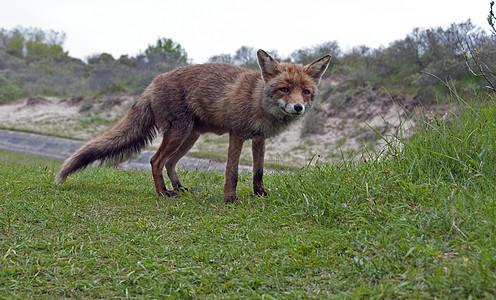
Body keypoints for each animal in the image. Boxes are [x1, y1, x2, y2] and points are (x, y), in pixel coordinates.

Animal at [56, 49, 332, 204]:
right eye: (284, 89)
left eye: (305, 92)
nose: (298, 107)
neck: (257, 101)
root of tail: (153, 81)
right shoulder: (237, 134)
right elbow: (232, 172)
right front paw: (230, 199)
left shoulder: (258, 139)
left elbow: (258, 172)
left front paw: (260, 194)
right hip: (178, 133)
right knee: (155, 161)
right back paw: (163, 193)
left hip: (189, 137)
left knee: (169, 163)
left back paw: (178, 187)